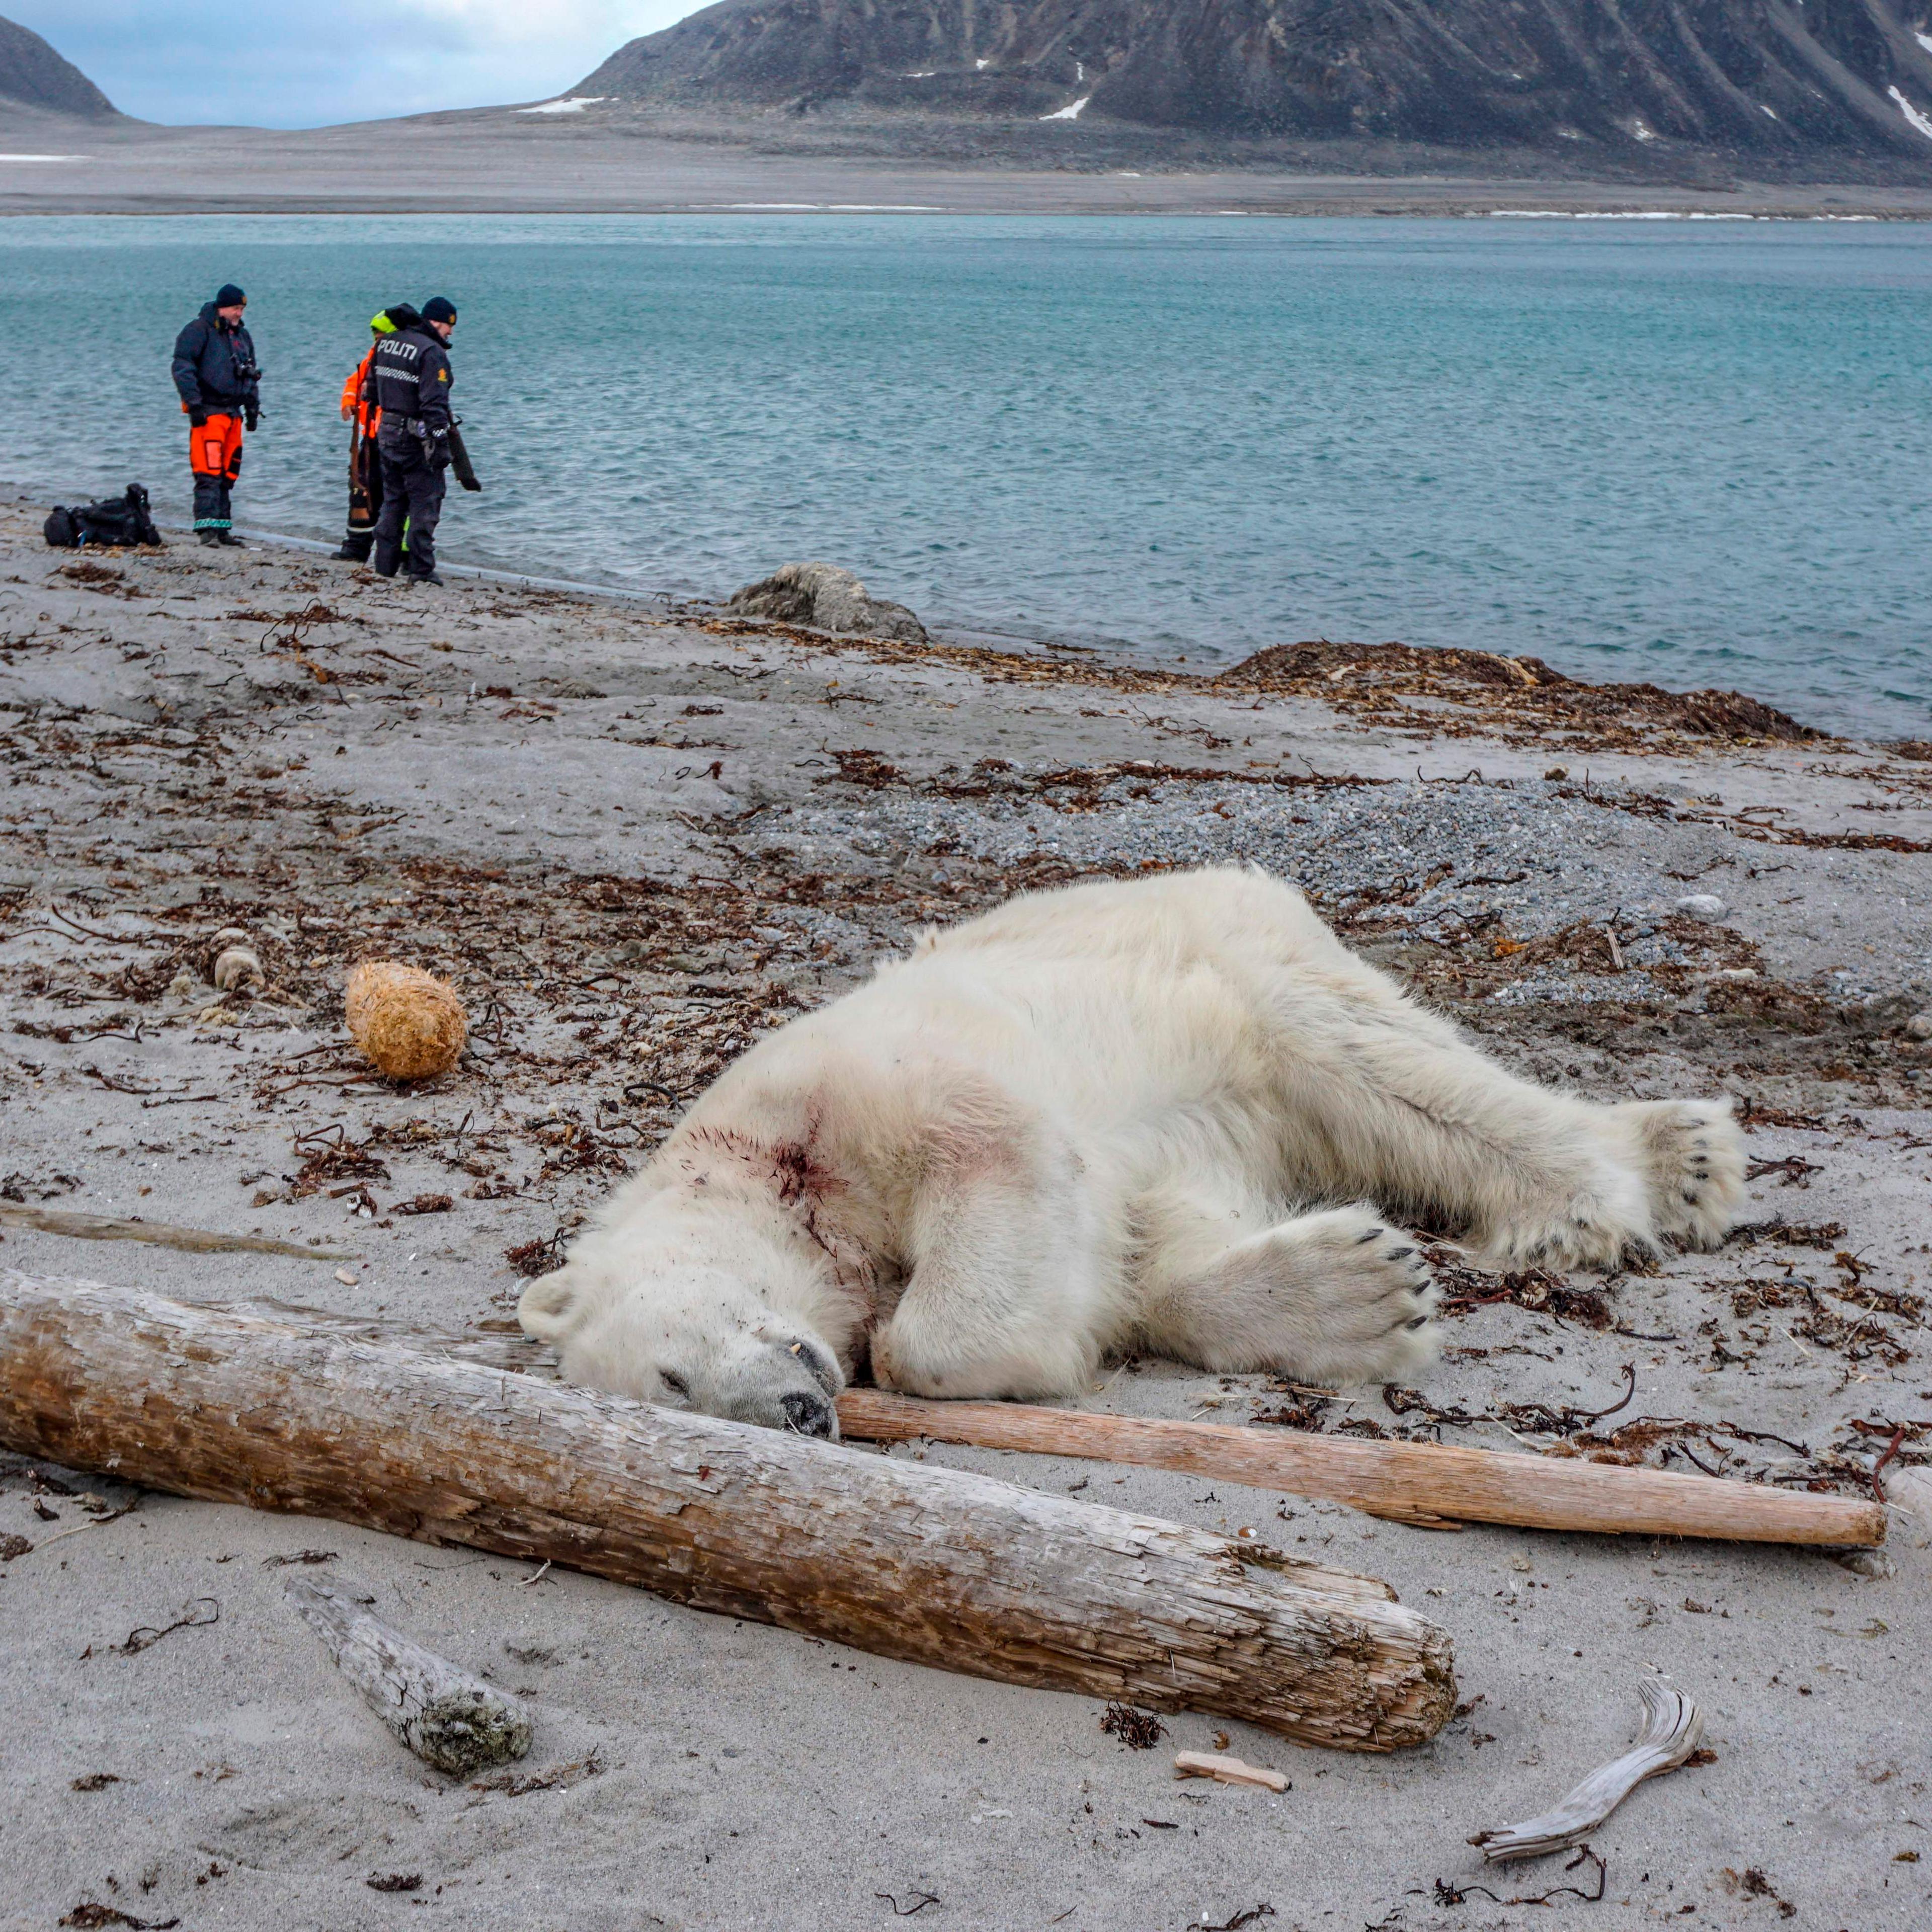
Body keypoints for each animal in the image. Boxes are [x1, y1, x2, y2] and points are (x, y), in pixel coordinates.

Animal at [520, 866, 1746, 1436]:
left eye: (672, 1375)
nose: (799, 1412)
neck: (761, 1171)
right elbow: (1148, 1244)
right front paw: (1355, 1294)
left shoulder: (853, 1091)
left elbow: (993, 1173)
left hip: (1233, 956)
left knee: (1379, 1067)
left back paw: (1631, 1180)